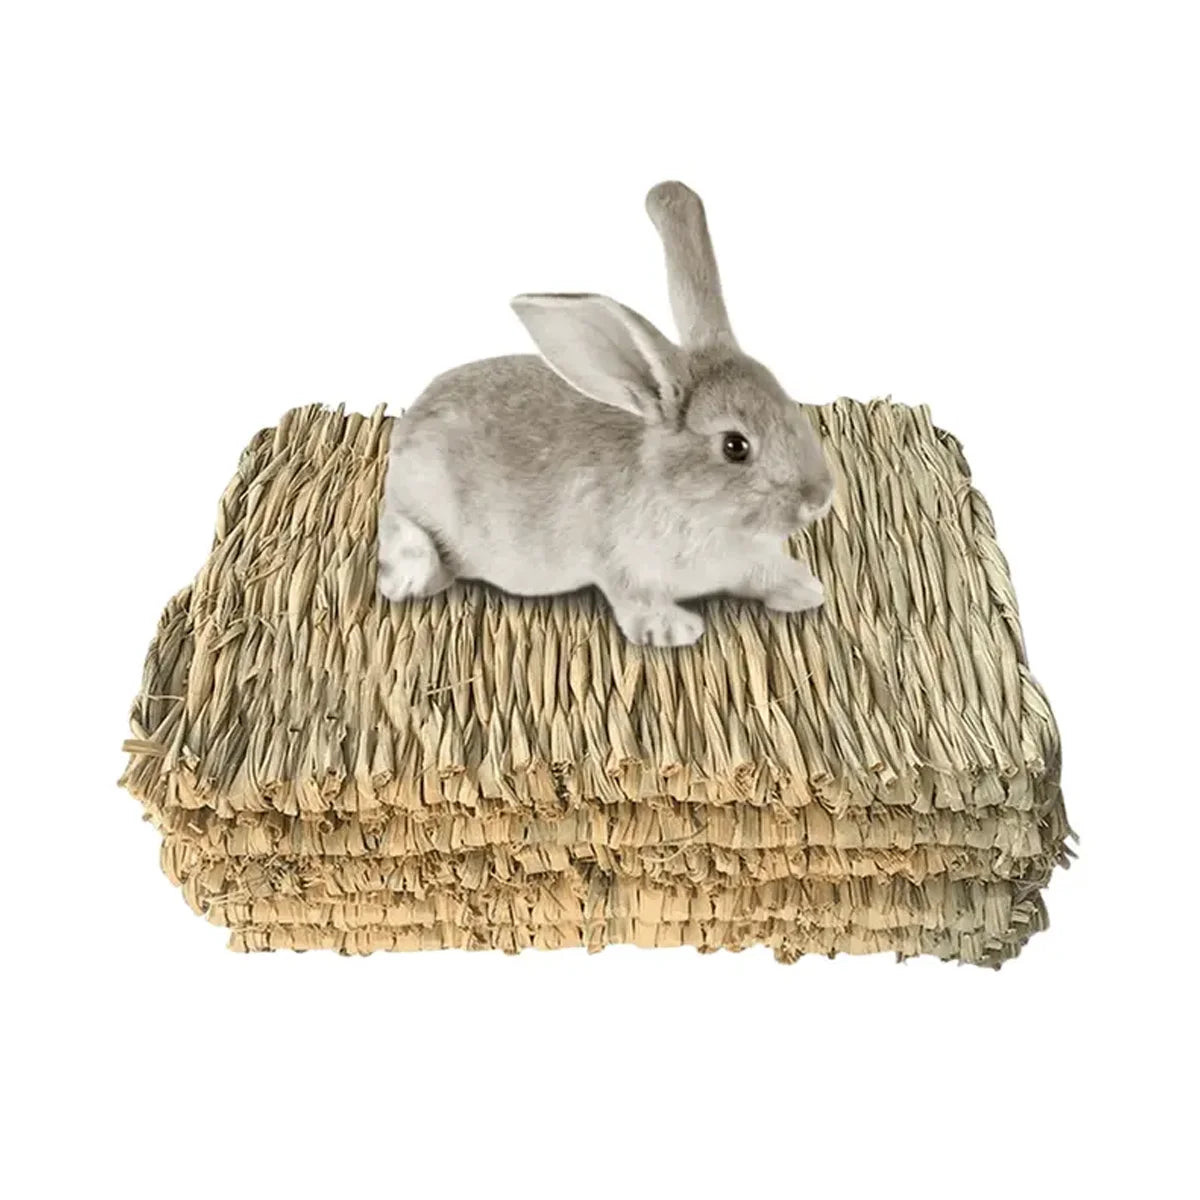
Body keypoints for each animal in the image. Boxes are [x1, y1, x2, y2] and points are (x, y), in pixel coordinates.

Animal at [378, 181, 834, 647]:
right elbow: (636, 598)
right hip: (420, 500)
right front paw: (673, 629)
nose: (820, 498)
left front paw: (804, 587)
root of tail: (412, 419)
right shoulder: (622, 565)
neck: (684, 500)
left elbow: (763, 572)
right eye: (735, 446)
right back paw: (412, 575)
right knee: (395, 523)